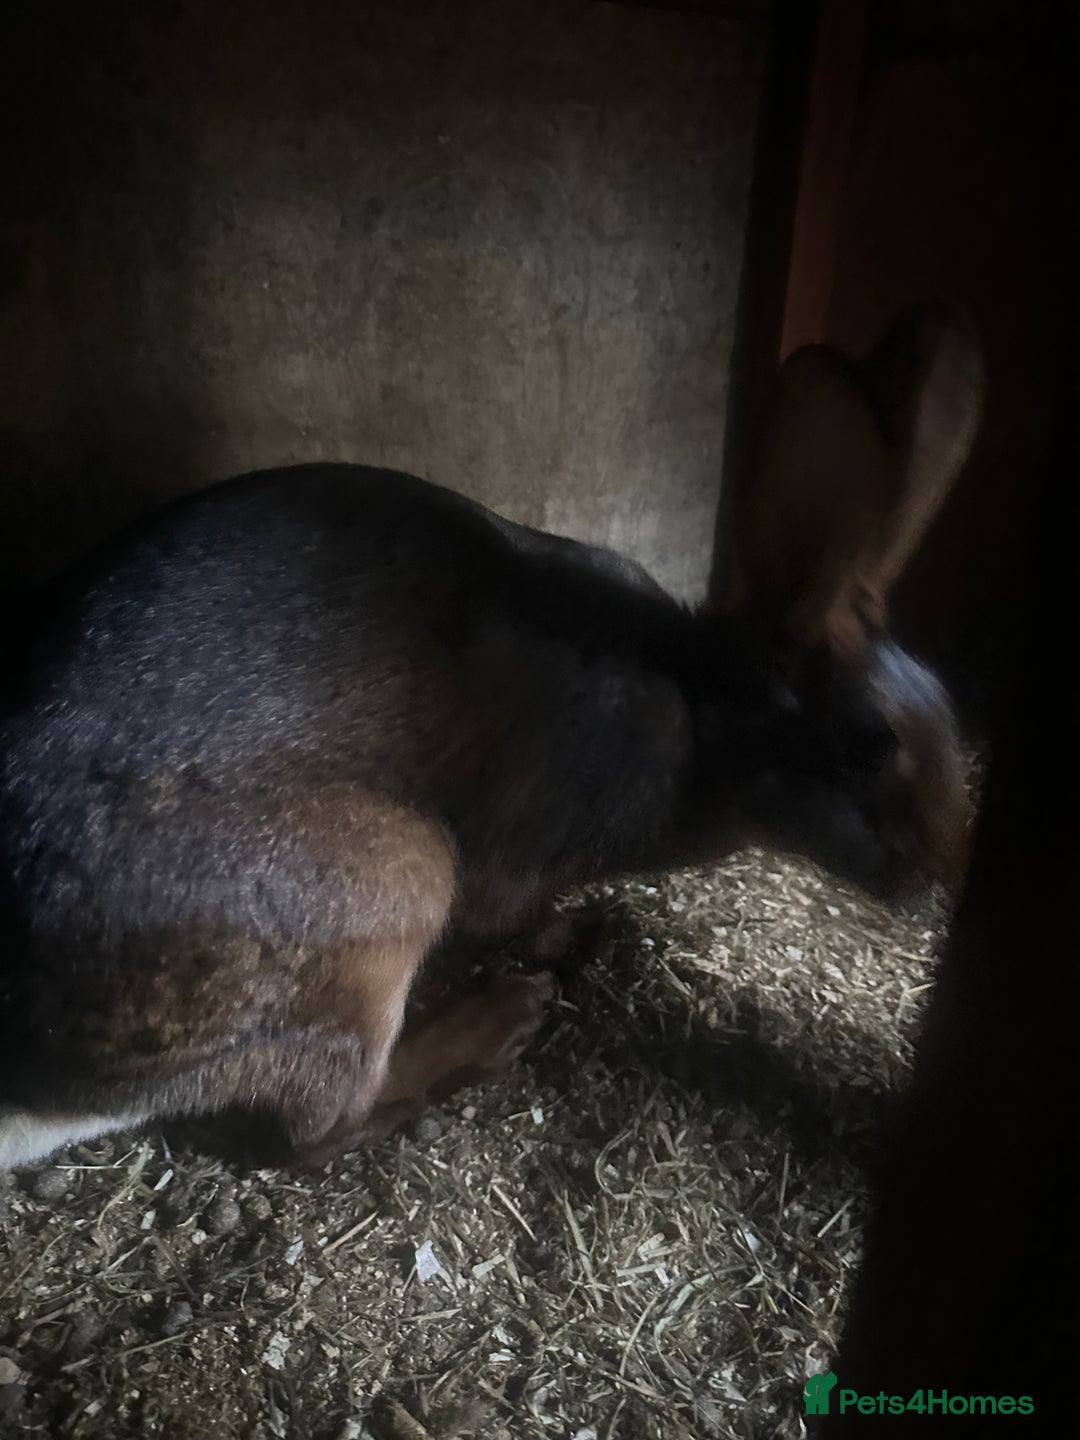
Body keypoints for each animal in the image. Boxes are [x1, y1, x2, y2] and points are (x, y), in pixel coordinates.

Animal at [0, 305, 982, 1170]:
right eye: (866, 745)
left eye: (948, 710)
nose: (946, 871)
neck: (703, 715)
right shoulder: (517, 858)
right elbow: (519, 915)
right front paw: (578, 937)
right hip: (385, 893)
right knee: (316, 1132)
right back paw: (499, 1021)